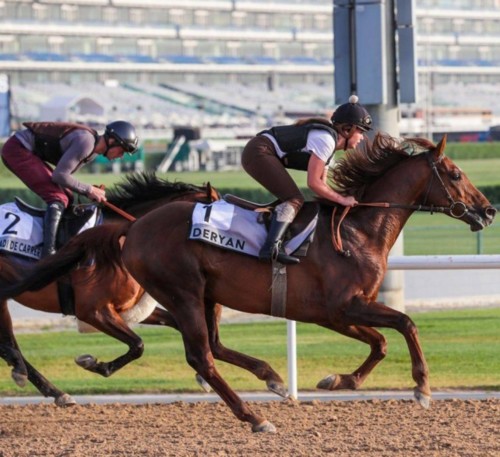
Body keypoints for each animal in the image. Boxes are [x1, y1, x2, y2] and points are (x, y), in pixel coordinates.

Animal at [11, 133, 496, 432]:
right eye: (455, 174)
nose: (489, 210)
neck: (359, 230)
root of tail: (135, 224)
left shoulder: (336, 314)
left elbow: (379, 342)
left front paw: (337, 381)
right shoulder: (343, 307)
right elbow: (406, 323)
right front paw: (422, 387)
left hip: (206, 295)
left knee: (211, 346)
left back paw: (271, 381)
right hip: (182, 292)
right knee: (201, 356)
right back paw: (253, 417)